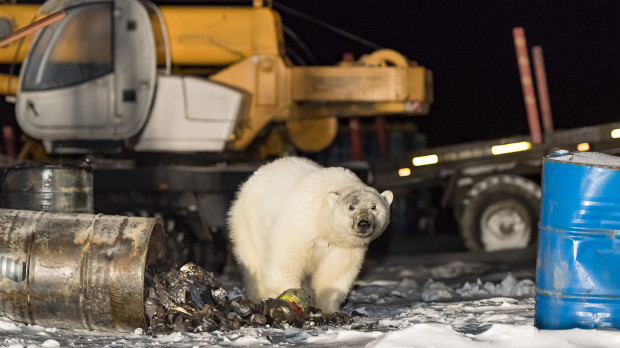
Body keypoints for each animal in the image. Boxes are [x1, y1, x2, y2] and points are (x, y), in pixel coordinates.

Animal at [228, 156, 392, 314]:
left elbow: (335, 272)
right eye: (351, 207)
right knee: (254, 264)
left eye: (374, 207)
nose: (363, 223)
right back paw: (258, 296)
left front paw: (328, 309)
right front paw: (288, 297)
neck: (323, 225)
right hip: (247, 224)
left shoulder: (344, 246)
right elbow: (286, 259)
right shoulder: (301, 224)